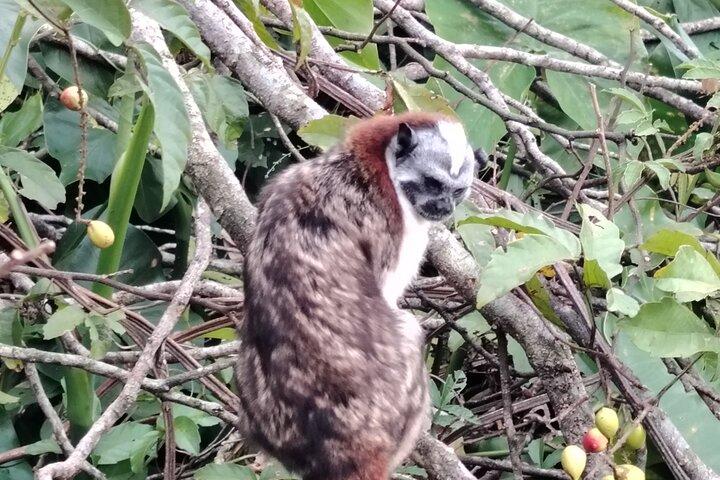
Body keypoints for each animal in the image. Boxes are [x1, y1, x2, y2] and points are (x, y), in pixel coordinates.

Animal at [235, 111, 477, 480]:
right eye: (433, 184)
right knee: (408, 332)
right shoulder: (389, 220)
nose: (443, 205)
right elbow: (386, 293)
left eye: (457, 191)